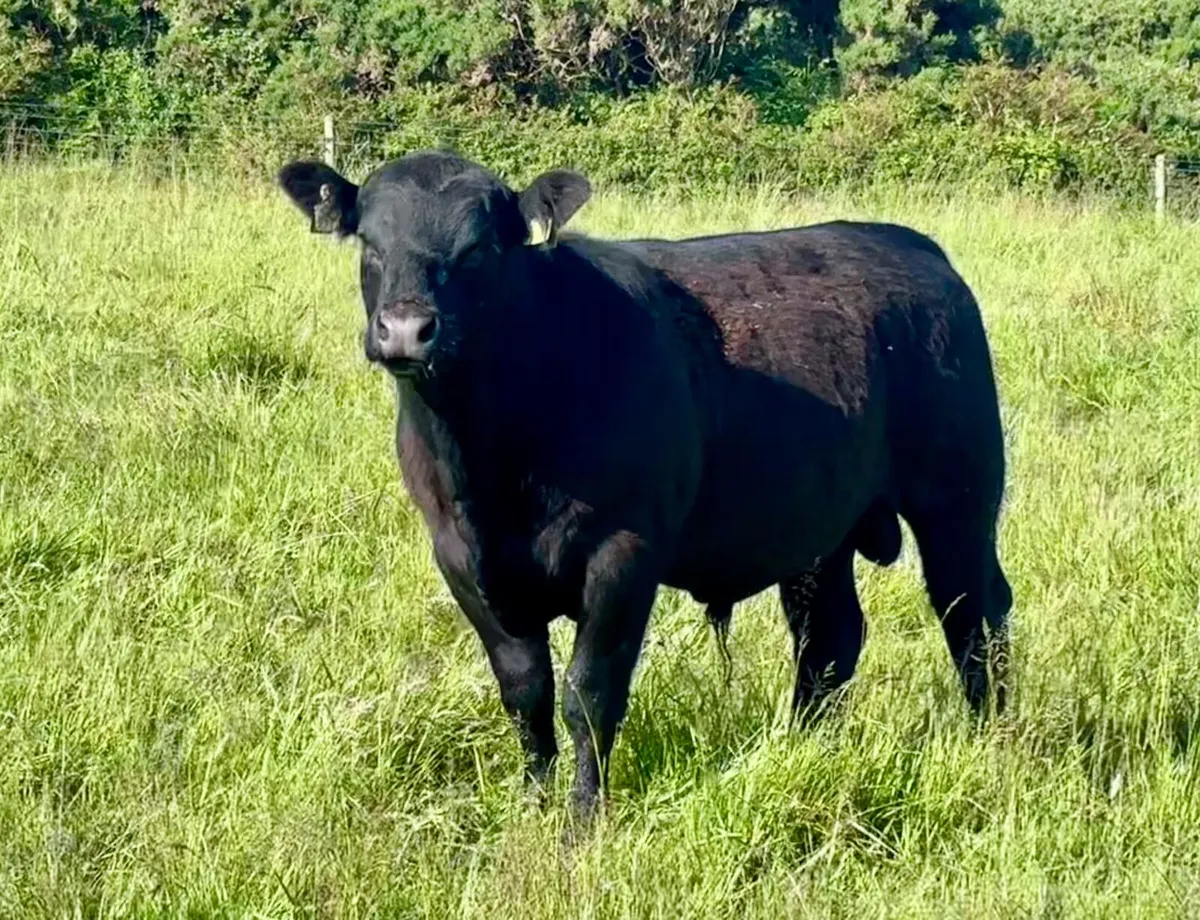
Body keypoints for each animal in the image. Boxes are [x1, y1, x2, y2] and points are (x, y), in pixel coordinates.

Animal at [277, 150, 1012, 817]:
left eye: (480, 249)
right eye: (370, 243)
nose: (406, 330)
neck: (492, 458)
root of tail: (911, 245)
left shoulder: (623, 555)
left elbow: (588, 693)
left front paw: (583, 818)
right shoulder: (462, 561)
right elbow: (525, 691)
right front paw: (533, 805)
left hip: (958, 501)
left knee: (974, 613)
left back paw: (992, 738)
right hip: (817, 528)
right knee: (829, 636)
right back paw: (804, 745)